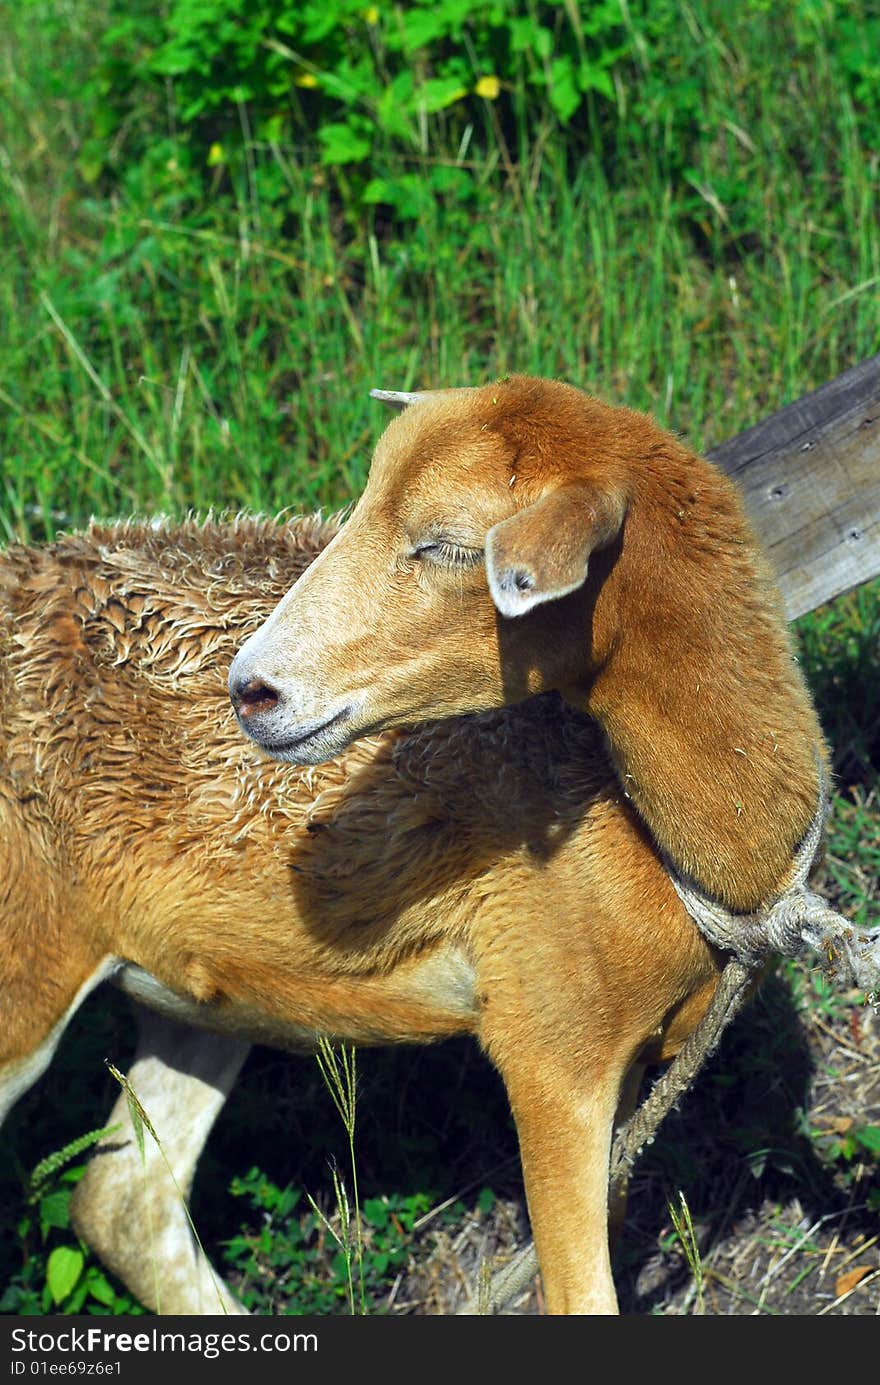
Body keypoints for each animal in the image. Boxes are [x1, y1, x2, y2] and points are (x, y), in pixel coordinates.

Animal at [1, 504, 720, 1312]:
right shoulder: (553, 1056)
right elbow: (582, 1289)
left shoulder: (623, 1060)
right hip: (28, 1002)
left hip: (204, 1006)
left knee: (121, 1199)